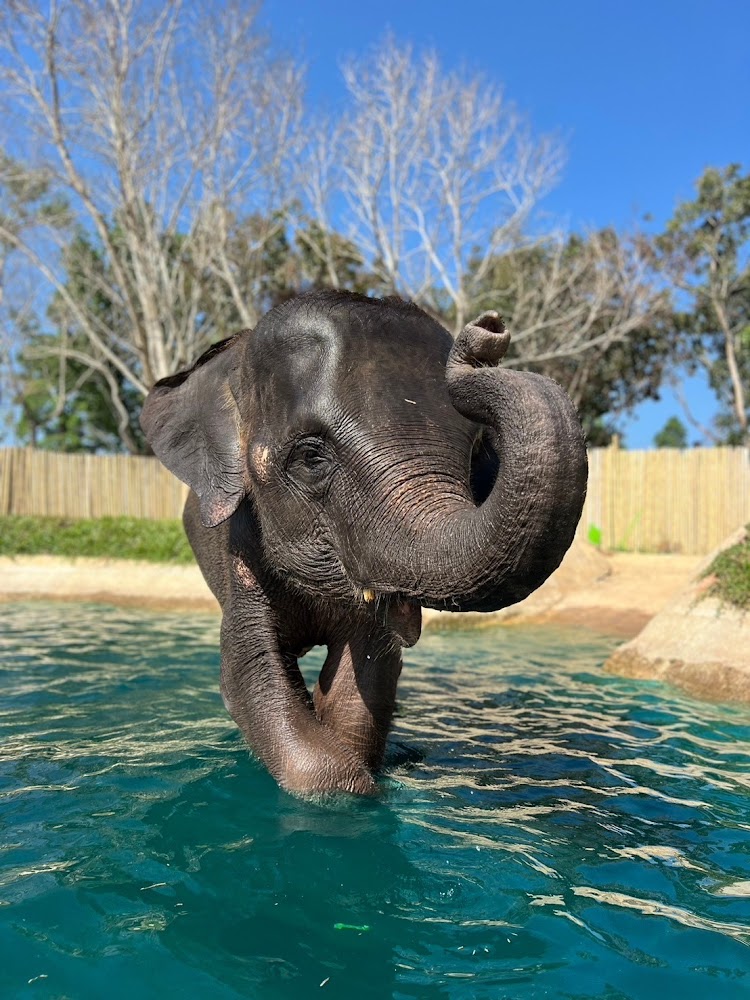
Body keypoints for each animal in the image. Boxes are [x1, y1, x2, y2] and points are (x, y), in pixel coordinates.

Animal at [141, 290, 587, 797]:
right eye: (310, 457)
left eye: (477, 454)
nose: (489, 330)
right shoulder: (240, 554)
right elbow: (248, 672)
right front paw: (343, 788)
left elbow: (363, 683)